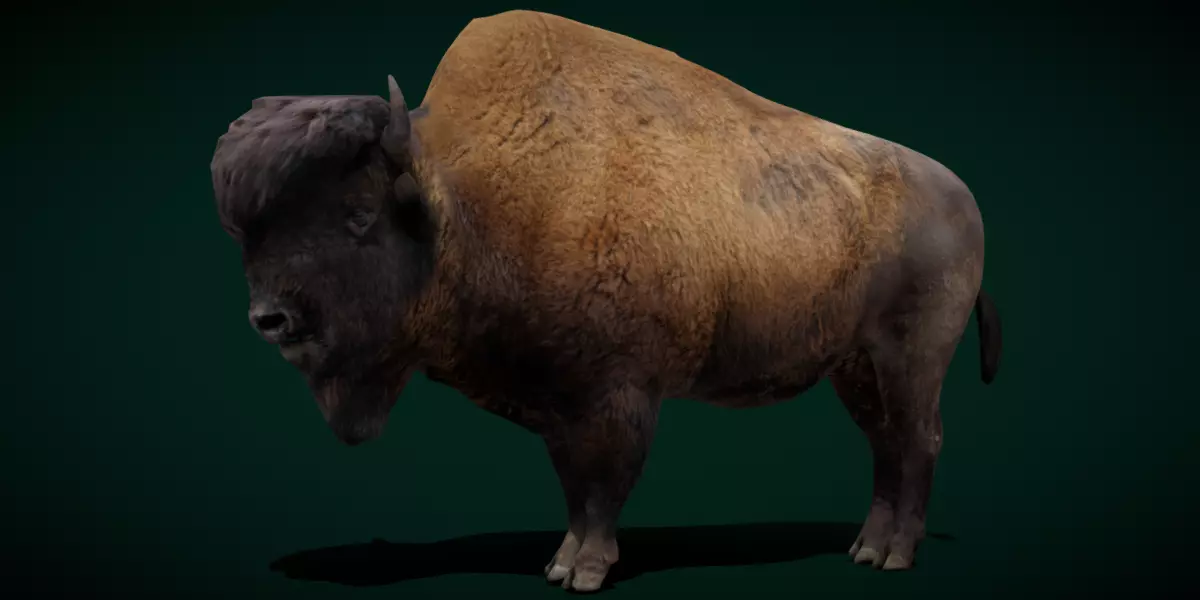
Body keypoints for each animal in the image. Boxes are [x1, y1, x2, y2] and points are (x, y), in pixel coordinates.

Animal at [210, 10, 1002, 593]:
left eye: (357, 216)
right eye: (245, 233)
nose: (269, 319)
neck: (465, 204)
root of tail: (962, 196)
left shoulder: (616, 394)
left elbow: (603, 487)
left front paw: (582, 571)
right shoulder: (557, 404)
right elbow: (575, 487)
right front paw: (561, 562)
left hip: (910, 360)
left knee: (919, 440)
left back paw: (894, 555)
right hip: (855, 368)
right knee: (887, 446)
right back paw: (865, 547)